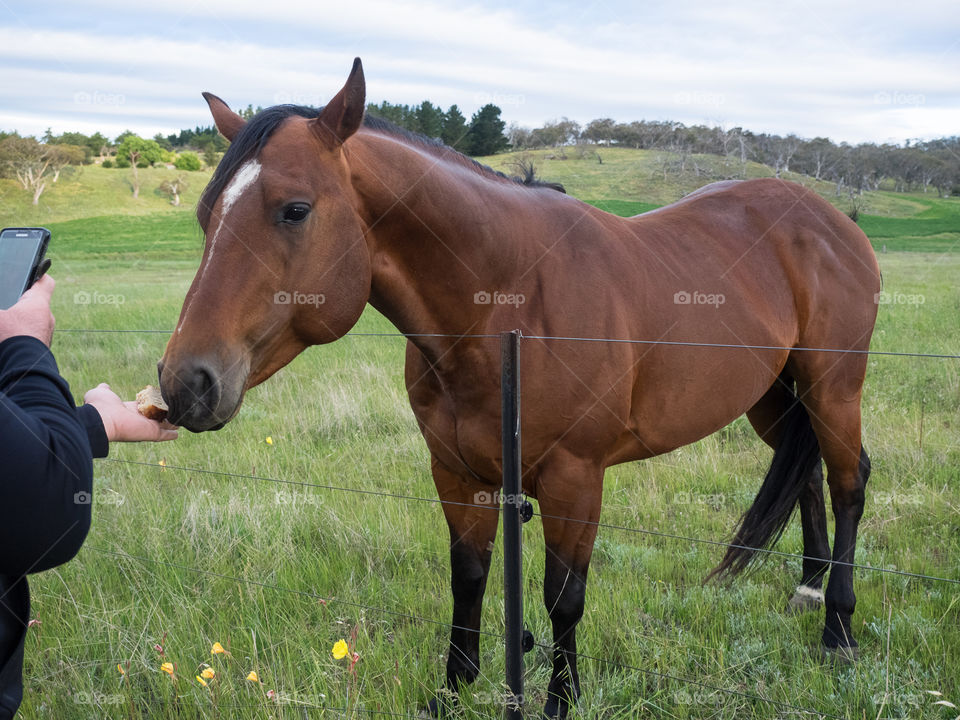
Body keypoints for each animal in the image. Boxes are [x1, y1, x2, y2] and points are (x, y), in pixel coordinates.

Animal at [158, 58, 880, 718]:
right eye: (205, 215)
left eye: (295, 210)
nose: (185, 383)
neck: (507, 303)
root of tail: (833, 221)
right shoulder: (458, 472)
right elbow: (468, 578)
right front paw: (453, 689)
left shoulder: (574, 478)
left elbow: (563, 598)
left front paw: (560, 700)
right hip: (772, 394)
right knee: (804, 469)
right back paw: (809, 590)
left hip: (833, 387)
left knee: (848, 481)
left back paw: (838, 631)